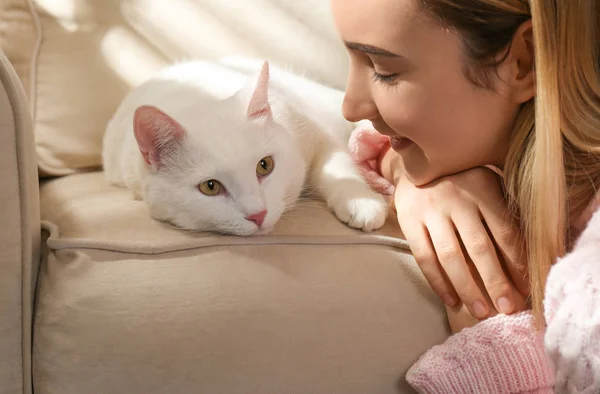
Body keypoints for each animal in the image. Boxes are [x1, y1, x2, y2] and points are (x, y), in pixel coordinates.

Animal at [102, 60, 390, 235]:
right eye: (210, 187)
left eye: (265, 165)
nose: (258, 214)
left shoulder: (314, 133)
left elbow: (337, 167)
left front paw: (361, 202)